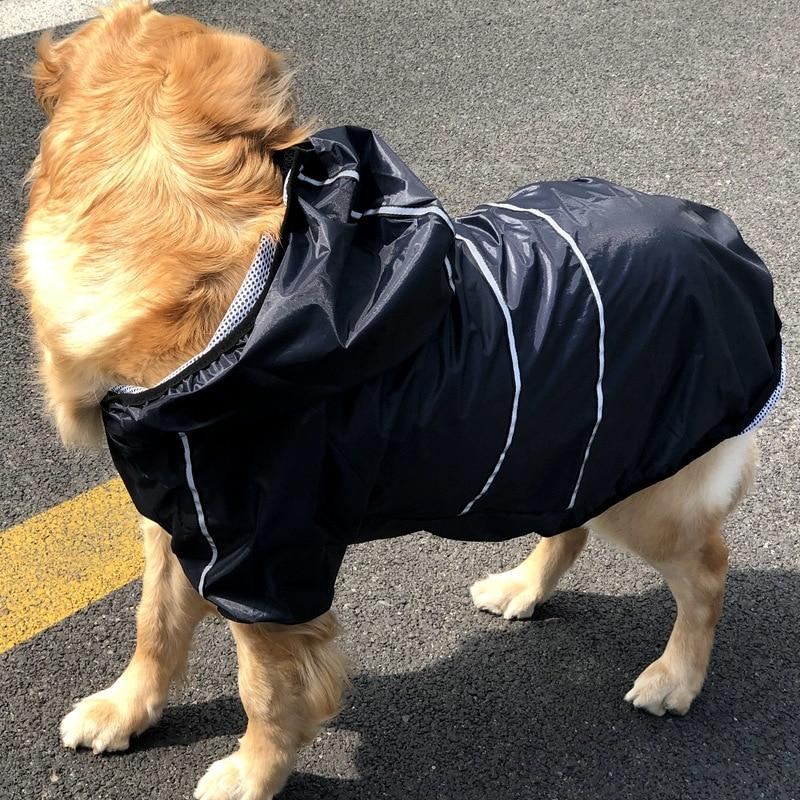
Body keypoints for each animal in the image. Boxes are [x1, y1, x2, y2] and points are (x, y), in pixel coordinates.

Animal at [15, 1, 784, 800]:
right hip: (566, 451)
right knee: (571, 527)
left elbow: (267, 688)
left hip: (647, 490)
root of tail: (730, 245)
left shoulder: (266, 560)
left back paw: (676, 676)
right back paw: (523, 587)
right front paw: (126, 708)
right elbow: (155, 624)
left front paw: (255, 772)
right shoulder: (181, 516)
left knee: (708, 570)